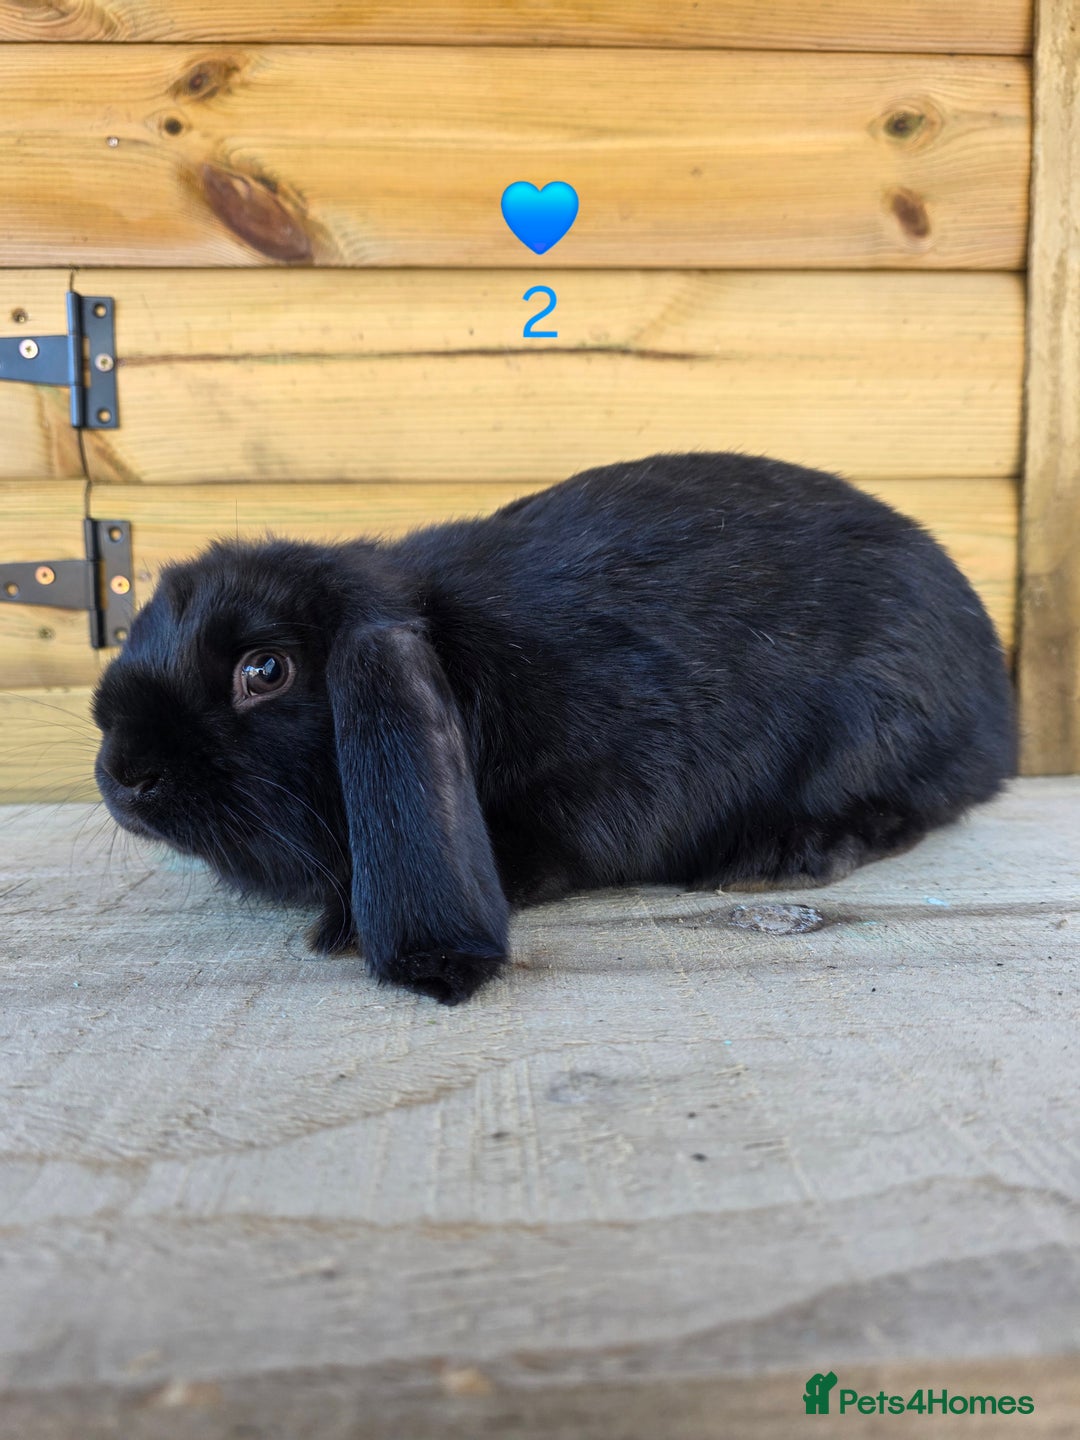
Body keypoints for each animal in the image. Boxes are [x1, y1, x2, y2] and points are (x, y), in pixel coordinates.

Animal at [93, 452, 1016, 1004]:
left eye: (264, 671)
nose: (125, 772)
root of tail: (997, 711)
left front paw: (345, 927)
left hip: (880, 729)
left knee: (906, 811)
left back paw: (782, 854)